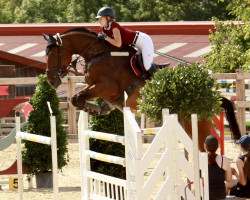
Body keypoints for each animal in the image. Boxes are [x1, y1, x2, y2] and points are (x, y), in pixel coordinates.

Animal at [43, 27, 242, 151]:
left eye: (52, 54)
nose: (51, 81)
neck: (98, 54)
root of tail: (209, 98)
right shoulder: (98, 88)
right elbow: (78, 97)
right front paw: (99, 108)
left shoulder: (106, 87)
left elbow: (76, 98)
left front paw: (92, 108)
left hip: (198, 126)